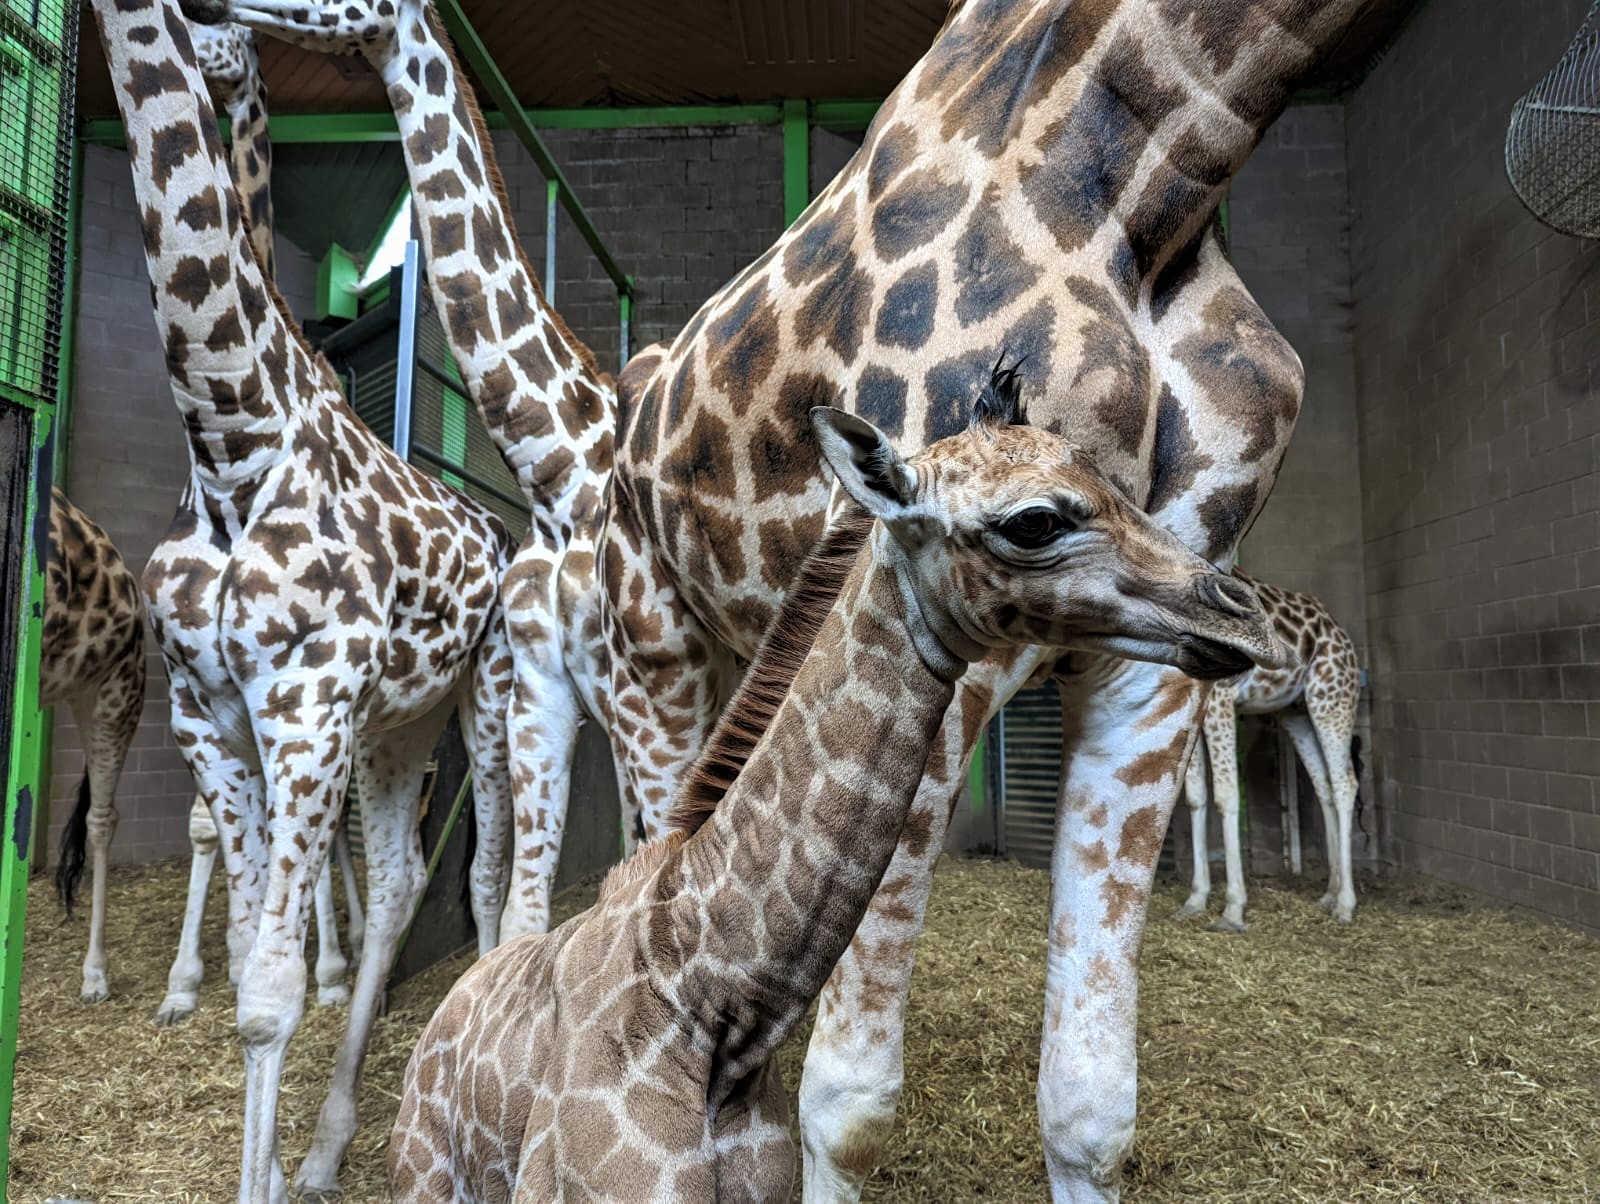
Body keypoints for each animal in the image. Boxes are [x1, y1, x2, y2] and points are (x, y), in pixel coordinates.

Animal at [595, 4, 1369, 1197]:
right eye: (1035, 522)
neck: (1160, 181)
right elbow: (849, 1105)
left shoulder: (1152, 661)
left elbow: (1092, 1106)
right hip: (650, 643)